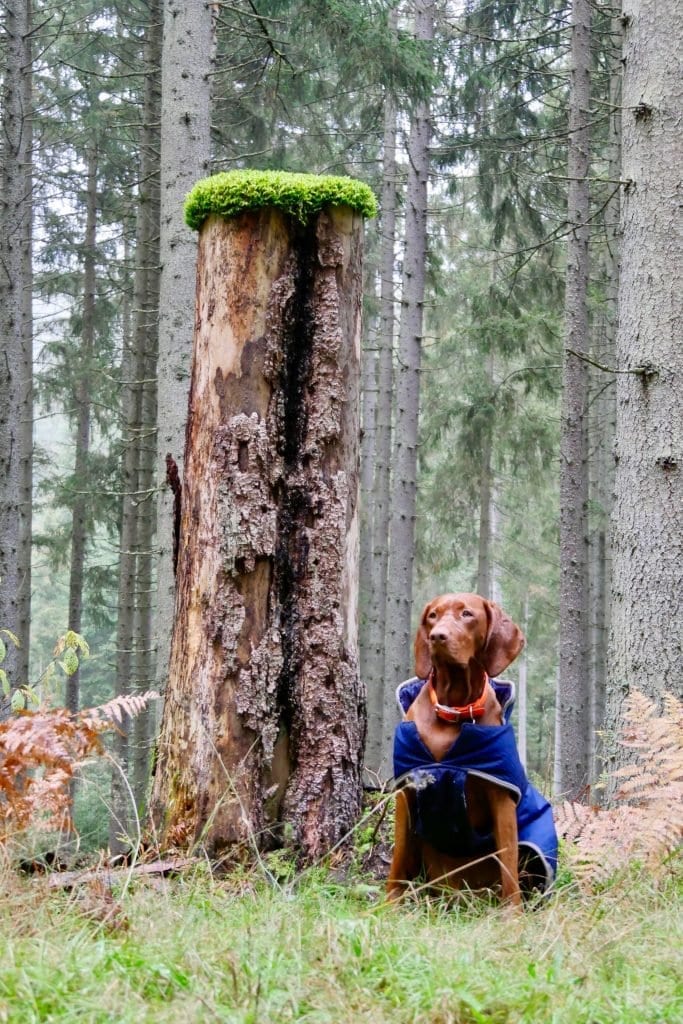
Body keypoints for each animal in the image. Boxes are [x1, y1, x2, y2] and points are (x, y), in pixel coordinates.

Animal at [387, 593, 528, 905]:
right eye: (433, 616)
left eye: (467, 614)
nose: (437, 637)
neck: (453, 710)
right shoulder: (407, 791)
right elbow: (398, 856)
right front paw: (389, 904)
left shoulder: (501, 799)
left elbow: (509, 862)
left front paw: (513, 912)